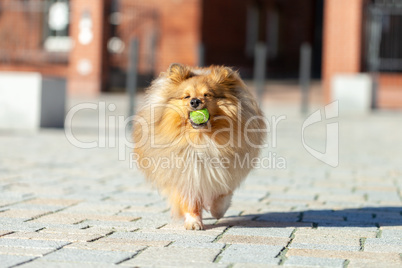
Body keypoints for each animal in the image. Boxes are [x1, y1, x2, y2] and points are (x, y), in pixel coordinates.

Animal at [133, 63, 266, 230]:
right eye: (186, 96)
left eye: (207, 95)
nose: (195, 101)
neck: (201, 139)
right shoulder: (187, 174)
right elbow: (190, 201)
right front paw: (194, 222)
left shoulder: (224, 172)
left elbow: (222, 195)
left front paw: (217, 211)